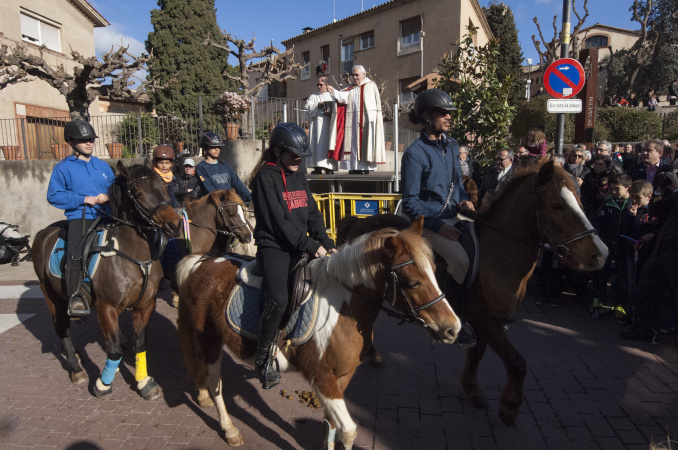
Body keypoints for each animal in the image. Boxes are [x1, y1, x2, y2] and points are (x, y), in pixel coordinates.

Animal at [32, 160, 183, 400]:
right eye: (138, 193)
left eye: (163, 185)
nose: (174, 224)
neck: (132, 256)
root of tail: (43, 233)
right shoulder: (107, 307)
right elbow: (112, 350)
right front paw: (103, 384)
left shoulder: (146, 305)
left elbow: (141, 344)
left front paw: (144, 382)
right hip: (51, 296)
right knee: (61, 328)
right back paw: (75, 367)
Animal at [175, 216, 462, 448]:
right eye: (413, 282)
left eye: (435, 271)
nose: (453, 328)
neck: (344, 307)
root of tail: (203, 261)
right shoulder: (321, 376)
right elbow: (349, 431)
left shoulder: (342, 377)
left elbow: (331, 425)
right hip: (209, 339)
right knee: (216, 383)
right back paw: (230, 429)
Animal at [338, 161, 608, 426]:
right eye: (556, 205)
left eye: (580, 201)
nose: (600, 254)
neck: (497, 254)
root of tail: (358, 222)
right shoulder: (485, 320)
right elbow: (517, 362)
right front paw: (509, 407)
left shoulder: (486, 322)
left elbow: (477, 354)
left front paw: (472, 389)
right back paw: (373, 355)